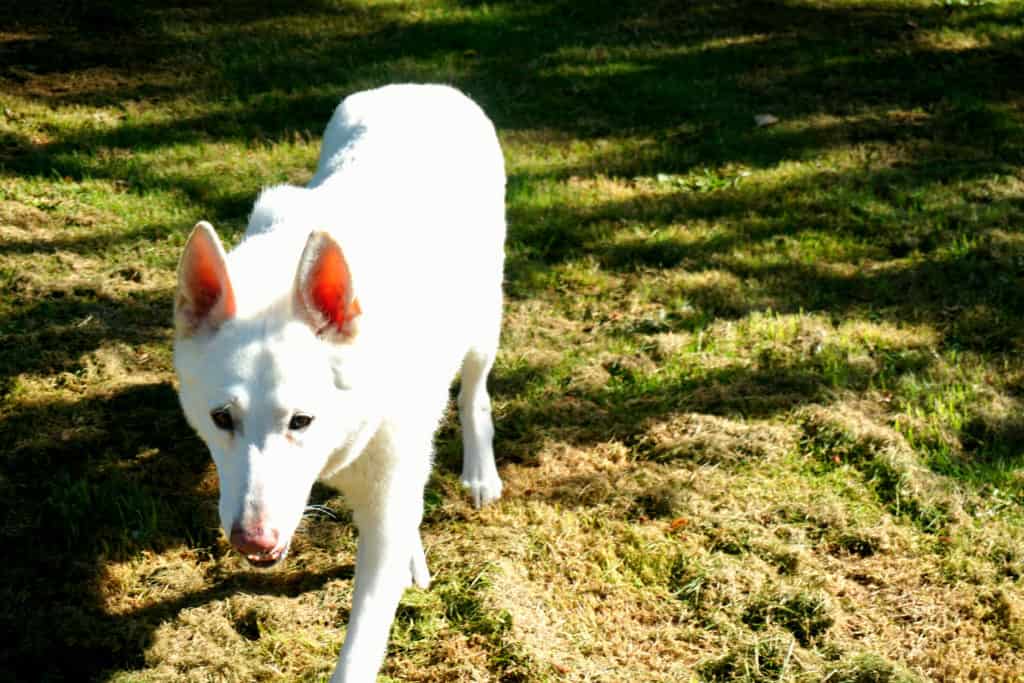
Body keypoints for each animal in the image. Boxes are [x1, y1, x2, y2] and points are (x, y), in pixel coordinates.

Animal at [173, 87, 507, 683]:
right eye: (221, 419)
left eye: (301, 421)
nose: (252, 542)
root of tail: (420, 85)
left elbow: (361, 644)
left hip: (482, 322)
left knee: (474, 396)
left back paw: (479, 474)